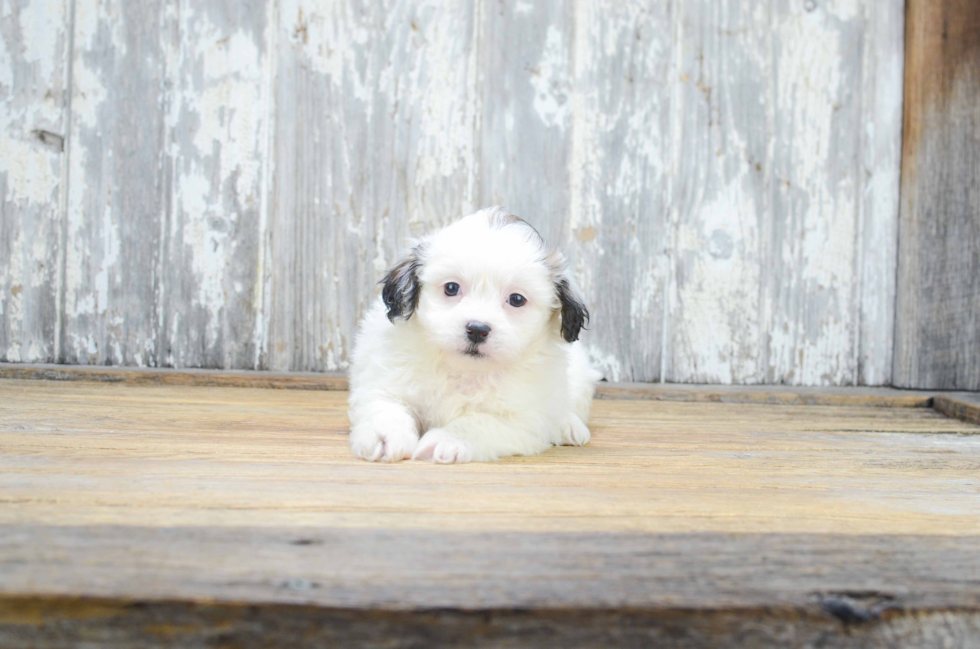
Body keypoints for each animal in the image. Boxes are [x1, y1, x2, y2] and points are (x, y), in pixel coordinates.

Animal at [348, 205, 600, 464]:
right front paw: (384, 436)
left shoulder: (522, 420)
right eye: (451, 288)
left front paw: (446, 440)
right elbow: (385, 406)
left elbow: (478, 422)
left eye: (516, 299)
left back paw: (569, 426)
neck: (463, 369)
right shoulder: (384, 380)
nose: (477, 329)